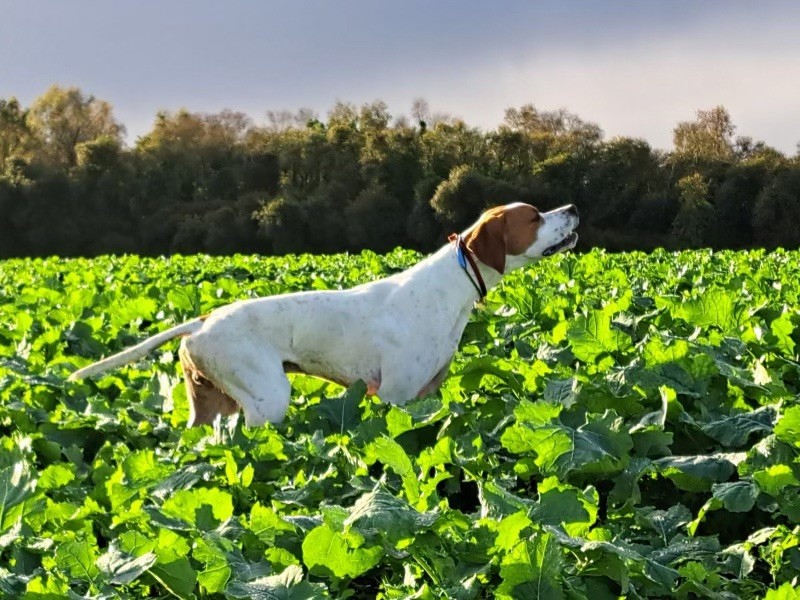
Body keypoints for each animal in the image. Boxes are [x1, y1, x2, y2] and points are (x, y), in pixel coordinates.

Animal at [69, 205, 580, 426]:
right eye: (533, 216)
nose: (573, 207)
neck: (448, 287)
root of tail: (204, 320)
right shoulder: (393, 394)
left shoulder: (422, 395)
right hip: (267, 399)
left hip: (213, 408)